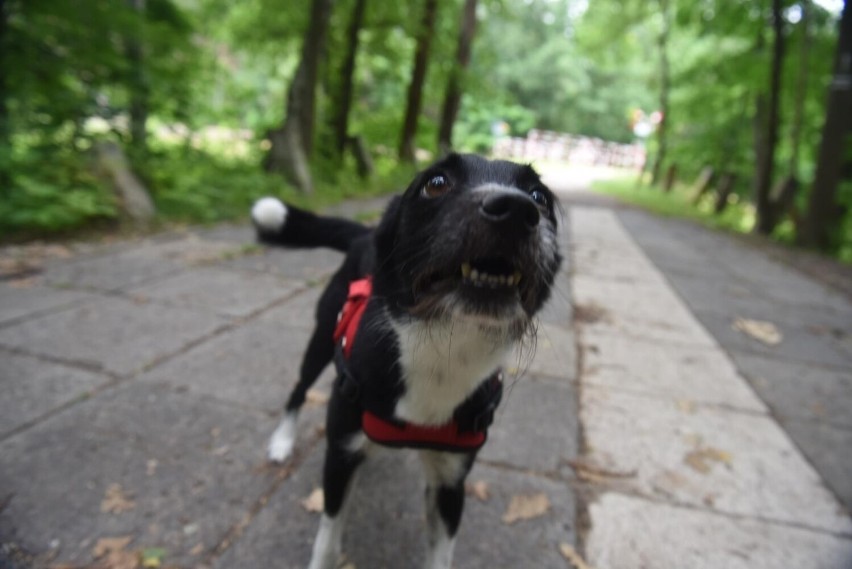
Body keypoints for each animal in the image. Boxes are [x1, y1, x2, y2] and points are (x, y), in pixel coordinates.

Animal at [250, 153, 564, 564]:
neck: (442, 351)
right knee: (298, 389)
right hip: (321, 337)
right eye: (436, 182)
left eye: (540, 196)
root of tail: (364, 235)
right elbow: (327, 537)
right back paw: (282, 442)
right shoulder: (340, 455)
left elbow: (441, 554)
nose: (515, 209)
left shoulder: (451, 480)